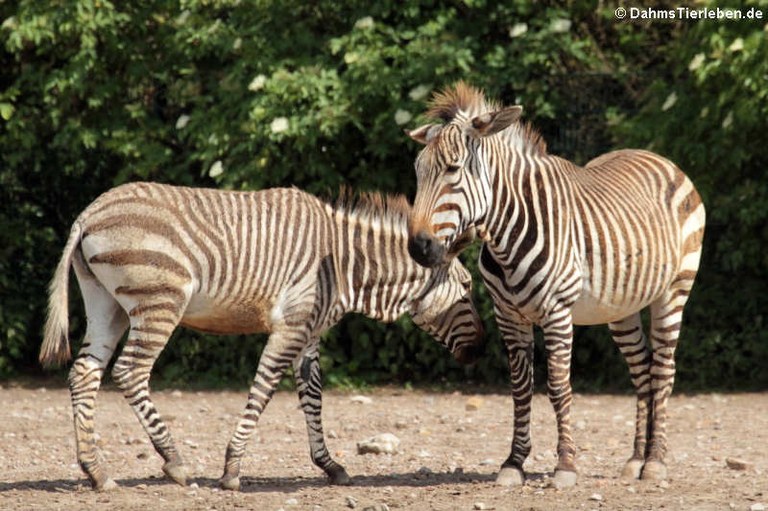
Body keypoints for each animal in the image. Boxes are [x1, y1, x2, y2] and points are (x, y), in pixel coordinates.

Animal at [39, 184, 484, 492]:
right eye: (466, 287)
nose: (479, 349)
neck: (344, 263)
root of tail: (88, 213)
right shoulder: (290, 326)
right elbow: (264, 388)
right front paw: (232, 469)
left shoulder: (308, 332)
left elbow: (312, 397)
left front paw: (330, 466)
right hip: (159, 302)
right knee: (130, 372)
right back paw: (176, 462)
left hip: (105, 304)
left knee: (85, 373)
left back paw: (97, 472)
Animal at [404, 82, 704, 490]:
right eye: (419, 172)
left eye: (453, 170)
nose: (418, 248)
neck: (505, 237)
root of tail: (659, 157)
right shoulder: (508, 316)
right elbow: (520, 389)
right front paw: (514, 463)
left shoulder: (557, 313)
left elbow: (559, 387)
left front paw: (565, 466)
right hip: (621, 308)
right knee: (642, 370)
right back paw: (636, 460)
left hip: (673, 292)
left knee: (662, 371)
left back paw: (656, 461)